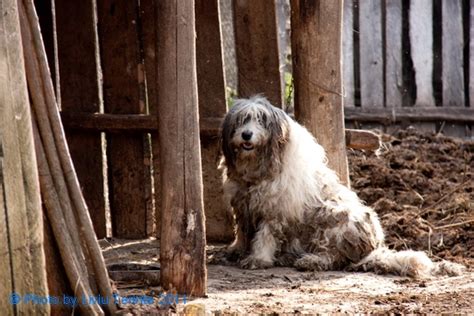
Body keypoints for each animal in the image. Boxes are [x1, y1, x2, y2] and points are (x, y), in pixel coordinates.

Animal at [220, 95, 464, 278]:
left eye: (261, 120)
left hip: (335, 214)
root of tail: (372, 250)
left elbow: (265, 236)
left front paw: (258, 258)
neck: (258, 170)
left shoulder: (275, 212)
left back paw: (311, 260)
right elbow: (242, 233)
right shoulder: (243, 207)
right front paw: (236, 251)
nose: (247, 135)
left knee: (334, 257)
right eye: (241, 120)